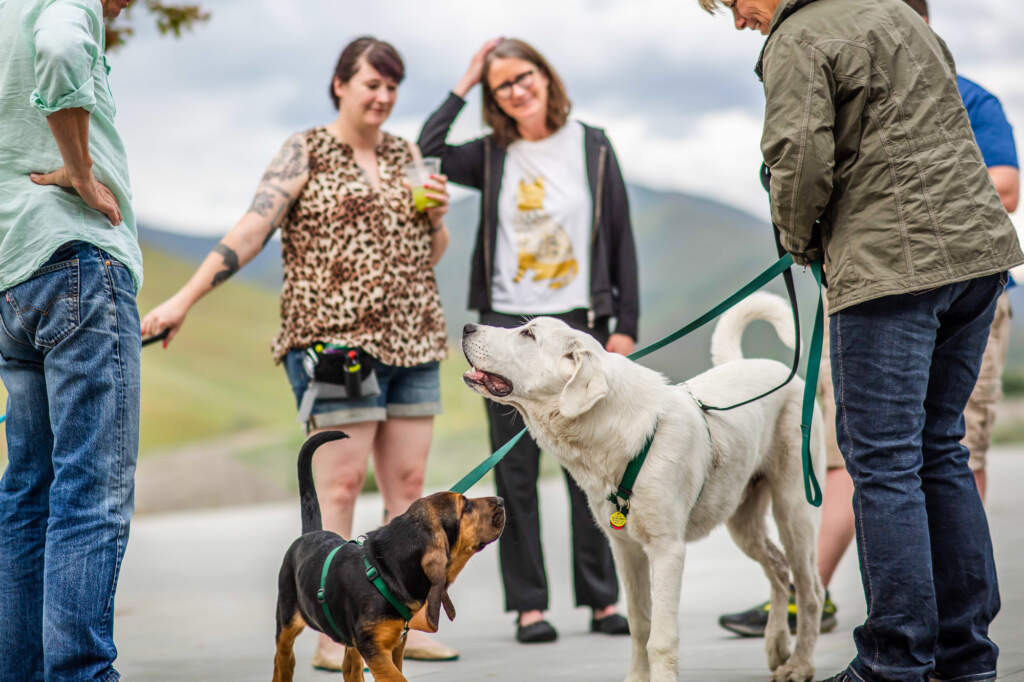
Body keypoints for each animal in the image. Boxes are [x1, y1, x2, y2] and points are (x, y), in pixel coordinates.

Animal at [272, 430, 503, 679]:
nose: (500, 500)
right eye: (465, 506)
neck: (385, 571)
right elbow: (397, 677)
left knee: (350, 668)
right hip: (286, 619)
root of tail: (310, 533)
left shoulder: (394, 644)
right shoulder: (372, 647)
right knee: (283, 659)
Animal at [460, 288, 827, 675]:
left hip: (794, 510)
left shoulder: (667, 550)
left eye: (529, 334)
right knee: (778, 569)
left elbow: (661, 638)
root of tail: (775, 368)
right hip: (743, 522)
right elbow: (640, 625)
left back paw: (800, 664)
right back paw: (776, 645)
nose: (467, 327)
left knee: (809, 591)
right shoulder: (626, 549)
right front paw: (637, 677)